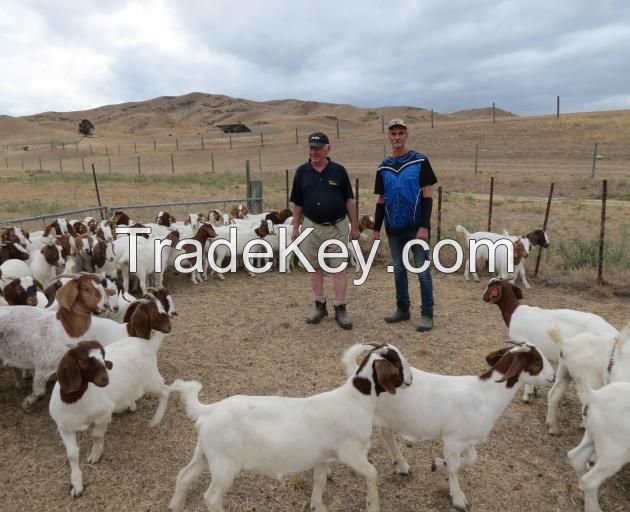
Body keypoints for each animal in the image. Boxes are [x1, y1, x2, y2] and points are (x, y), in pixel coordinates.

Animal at [168, 342, 414, 512]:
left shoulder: (323, 457)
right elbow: (372, 472)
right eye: (399, 363)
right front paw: (373, 505)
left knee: (183, 475)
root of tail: (210, 410)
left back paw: (175, 505)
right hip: (225, 464)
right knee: (211, 497)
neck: (356, 399)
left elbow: (319, 481)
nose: (411, 379)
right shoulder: (351, 453)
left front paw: (317, 506)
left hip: (205, 454)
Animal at [344, 340, 556, 512]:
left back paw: (402, 465)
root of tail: (358, 373)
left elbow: (471, 459)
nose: (553, 376)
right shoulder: (453, 439)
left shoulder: (467, 439)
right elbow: (454, 468)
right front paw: (458, 498)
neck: (486, 394)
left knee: (386, 434)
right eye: (537, 363)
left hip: (392, 417)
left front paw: (439, 464)